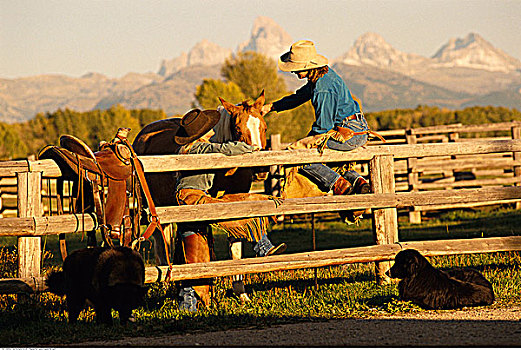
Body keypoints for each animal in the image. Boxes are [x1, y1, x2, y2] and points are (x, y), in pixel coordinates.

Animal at [132, 91, 272, 306]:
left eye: (264, 127)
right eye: (238, 129)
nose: (261, 169)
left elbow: (236, 246)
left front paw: (241, 293)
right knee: (159, 242)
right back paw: (165, 285)